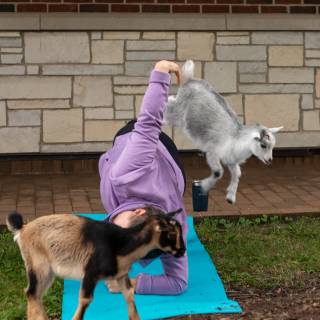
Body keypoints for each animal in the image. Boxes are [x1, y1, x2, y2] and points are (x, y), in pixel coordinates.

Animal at [6, 208, 185, 320]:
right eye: (170, 233)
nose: (182, 251)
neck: (121, 245)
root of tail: (22, 229)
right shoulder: (90, 273)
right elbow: (85, 300)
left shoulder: (121, 275)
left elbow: (129, 295)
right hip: (38, 265)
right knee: (31, 292)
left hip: (46, 271)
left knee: (35, 294)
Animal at [165, 61, 282, 204]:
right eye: (263, 145)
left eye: (273, 146)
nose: (269, 160)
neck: (235, 139)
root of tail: (190, 79)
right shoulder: (212, 152)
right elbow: (218, 172)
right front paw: (204, 187)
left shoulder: (231, 160)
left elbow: (237, 174)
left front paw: (230, 197)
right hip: (178, 113)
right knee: (169, 105)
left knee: (171, 100)